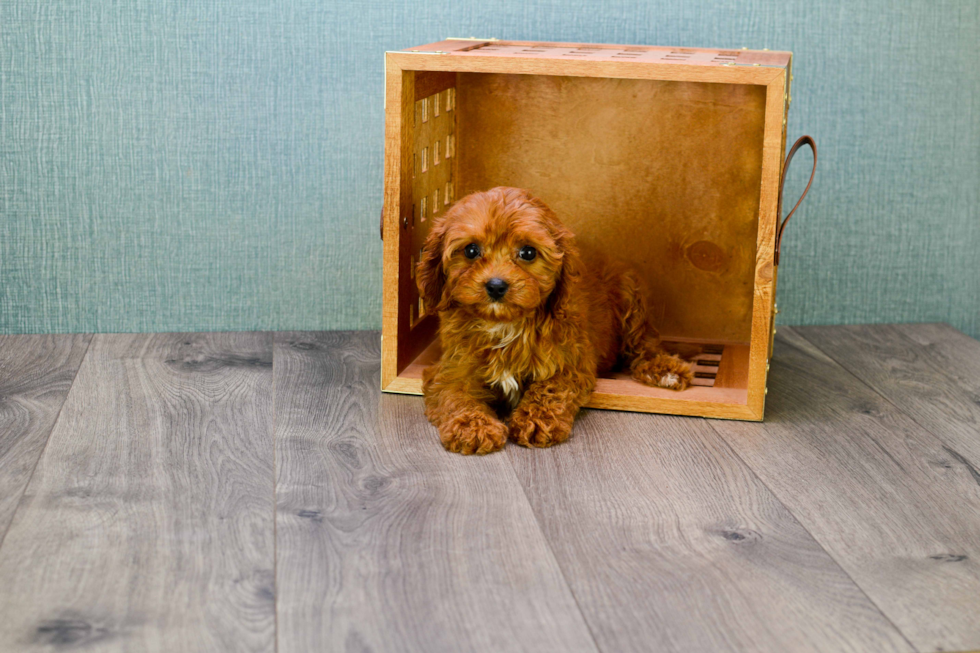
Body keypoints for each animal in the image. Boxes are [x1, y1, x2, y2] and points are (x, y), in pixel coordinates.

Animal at [418, 187, 692, 454]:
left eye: (528, 252)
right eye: (471, 250)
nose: (496, 286)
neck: (505, 324)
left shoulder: (570, 364)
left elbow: (549, 389)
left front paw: (536, 421)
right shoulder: (453, 368)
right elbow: (455, 394)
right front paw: (473, 427)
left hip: (630, 297)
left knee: (643, 343)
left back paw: (665, 369)